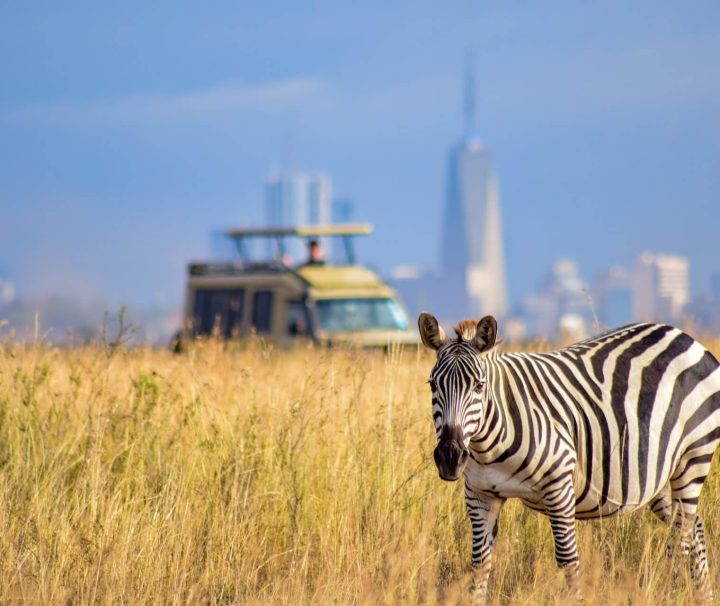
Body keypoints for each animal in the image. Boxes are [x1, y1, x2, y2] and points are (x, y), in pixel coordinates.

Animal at [420, 314, 720, 606]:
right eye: (433, 385)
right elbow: (479, 565)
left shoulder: (559, 486)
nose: (450, 457)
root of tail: (685, 337)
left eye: (479, 386)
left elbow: (568, 563)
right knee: (695, 528)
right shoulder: (480, 494)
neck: (488, 445)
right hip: (657, 477)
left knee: (681, 539)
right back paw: (704, 597)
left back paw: (673, 592)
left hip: (693, 458)